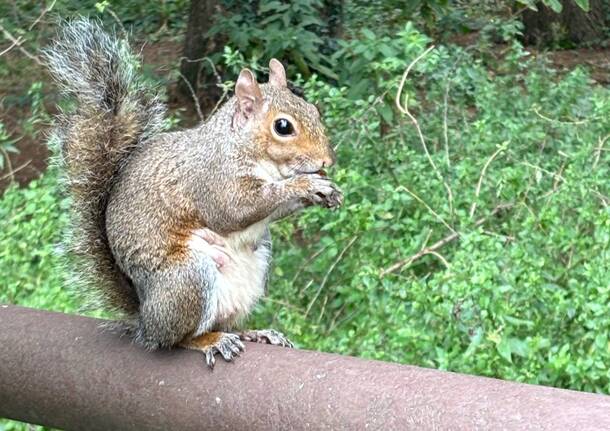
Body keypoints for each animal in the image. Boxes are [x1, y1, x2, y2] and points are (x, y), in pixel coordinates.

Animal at [44, 19, 342, 368]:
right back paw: (209, 341)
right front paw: (307, 185)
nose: (327, 161)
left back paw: (254, 333)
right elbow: (236, 210)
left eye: (313, 109)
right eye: (283, 127)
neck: (242, 147)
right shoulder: (213, 181)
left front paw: (325, 191)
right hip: (187, 277)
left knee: (223, 321)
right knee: (176, 339)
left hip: (254, 267)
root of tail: (145, 318)